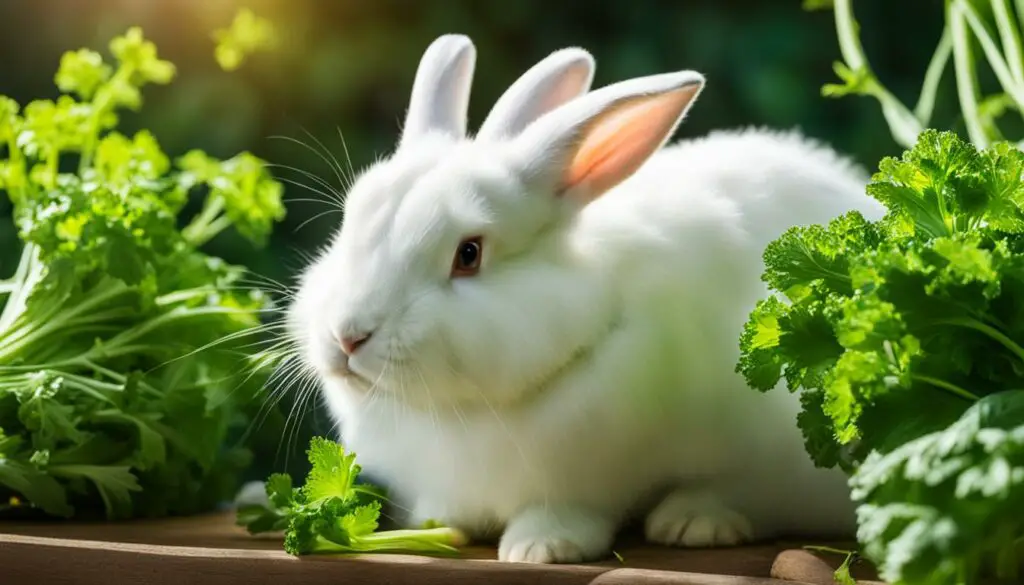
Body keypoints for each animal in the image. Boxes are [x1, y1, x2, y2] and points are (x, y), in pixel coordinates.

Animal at [288, 34, 888, 565]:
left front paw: (540, 547)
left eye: (468, 254)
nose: (347, 335)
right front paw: (440, 522)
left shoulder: (589, 477)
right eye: (348, 225)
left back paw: (694, 520)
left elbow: (576, 510)